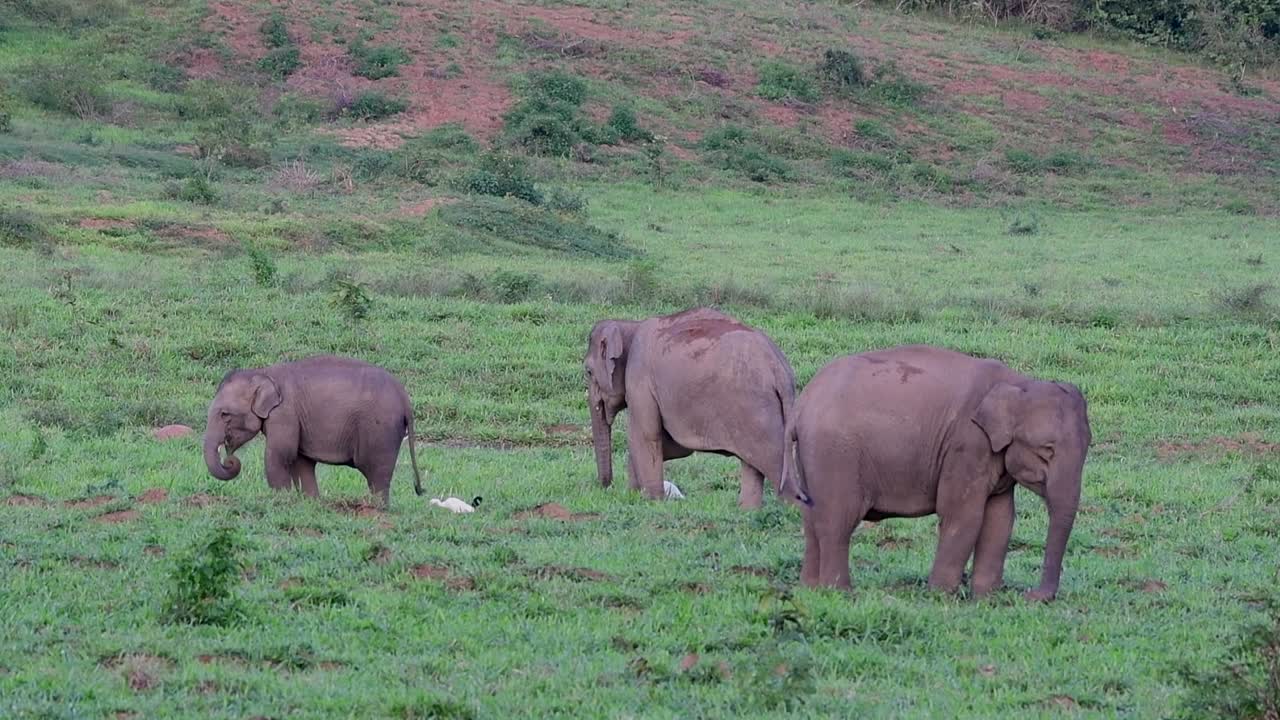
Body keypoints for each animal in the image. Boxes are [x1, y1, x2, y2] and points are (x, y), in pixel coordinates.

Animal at [203, 355, 424, 507]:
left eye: (224, 414)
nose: (230, 461)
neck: (263, 373)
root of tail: (405, 399)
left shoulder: (285, 413)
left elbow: (280, 455)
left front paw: (281, 500)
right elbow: (301, 461)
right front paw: (311, 503)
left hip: (380, 430)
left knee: (377, 473)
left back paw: (378, 508)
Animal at [584, 307, 796, 508]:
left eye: (588, 371)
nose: (606, 487)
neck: (630, 326)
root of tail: (780, 370)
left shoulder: (640, 380)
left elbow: (646, 436)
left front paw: (652, 501)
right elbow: (675, 446)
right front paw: (636, 494)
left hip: (757, 411)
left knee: (774, 462)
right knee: (752, 463)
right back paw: (747, 511)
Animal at [783, 345, 1091, 601]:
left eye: (1088, 446)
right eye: (1047, 451)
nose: (1031, 596)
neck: (1019, 383)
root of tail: (800, 407)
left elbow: (1000, 519)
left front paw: (986, 599)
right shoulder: (967, 445)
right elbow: (963, 514)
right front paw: (941, 596)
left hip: (812, 457)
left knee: (812, 520)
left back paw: (811, 588)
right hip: (835, 454)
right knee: (838, 521)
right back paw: (841, 593)